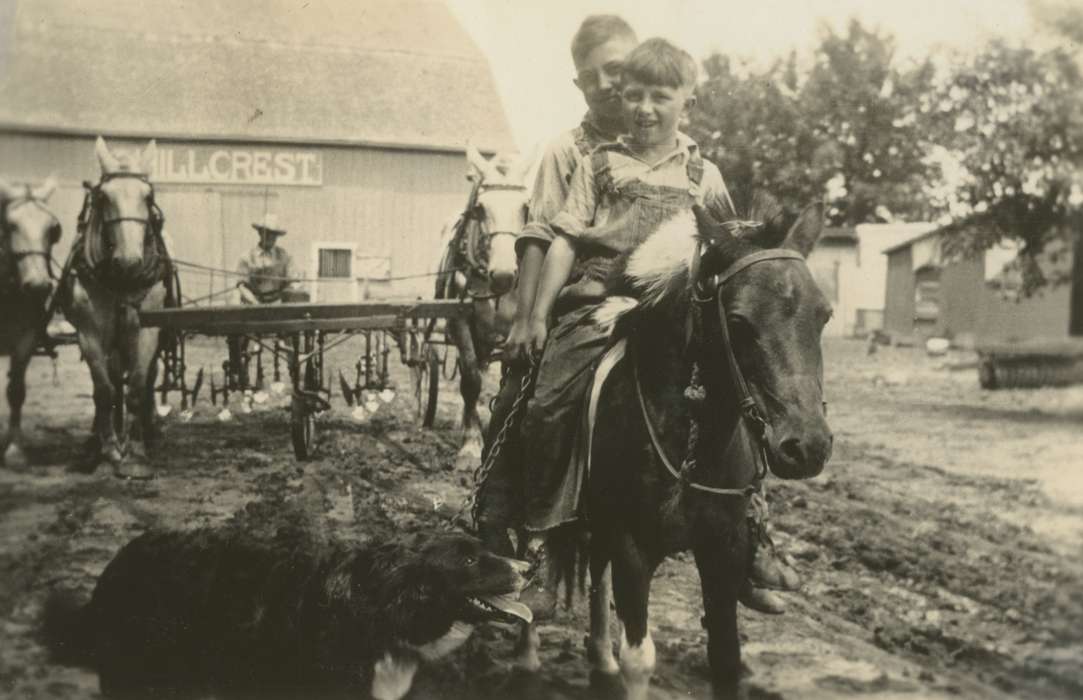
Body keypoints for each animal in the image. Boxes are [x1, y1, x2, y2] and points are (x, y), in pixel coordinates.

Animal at [63, 137, 171, 478]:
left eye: (148, 196)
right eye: (102, 197)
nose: (129, 262)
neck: (121, 282)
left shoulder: (148, 330)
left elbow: (136, 386)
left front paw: (135, 452)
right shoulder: (89, 334)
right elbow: (105, 390)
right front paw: (109, 447)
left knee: (146, 379)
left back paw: (149, 428)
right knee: (110, 382)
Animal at [431, 143, 532, 472]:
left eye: (525, 208)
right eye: (480, 209)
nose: (504, 275)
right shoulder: (460, 323)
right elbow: (471, 380)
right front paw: (470, 445)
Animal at [528, 195, 831, 697]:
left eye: (823, 315)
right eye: (739, 321)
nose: (806, 446)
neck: (689, 445)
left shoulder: (724, 548)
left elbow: (726, 657)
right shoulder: (632, 547)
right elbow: (639, 659)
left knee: (596, 573)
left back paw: (599, 662)